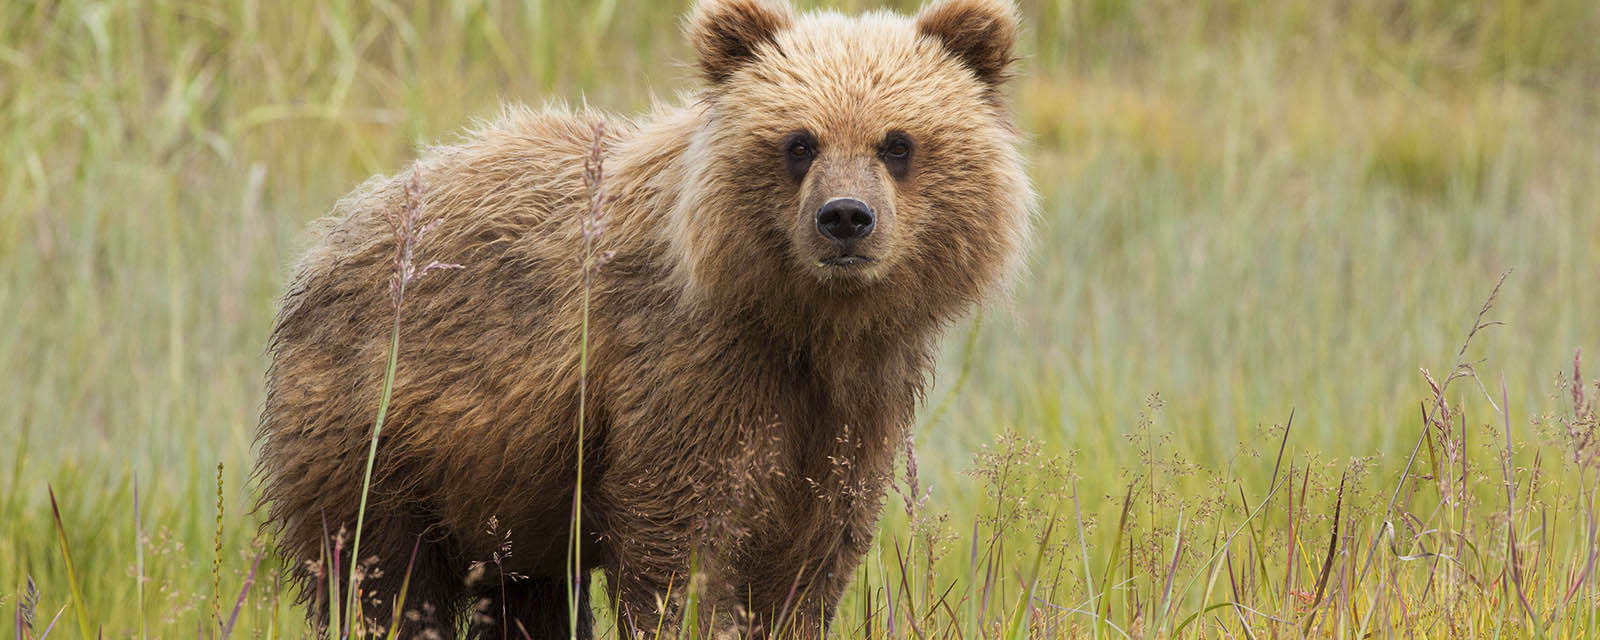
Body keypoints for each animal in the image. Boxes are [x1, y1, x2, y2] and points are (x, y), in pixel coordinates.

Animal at [254, 0, 1033, 637]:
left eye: (897, 142)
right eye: (799, 141)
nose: (845, 217)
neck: (803, 323)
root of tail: (332, 235)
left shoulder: (853, 408)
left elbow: (811, 556)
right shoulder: (687, 375)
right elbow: (682, 546)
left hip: (505, 495)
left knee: (521, 598)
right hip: (379, 432)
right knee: (377, 574)